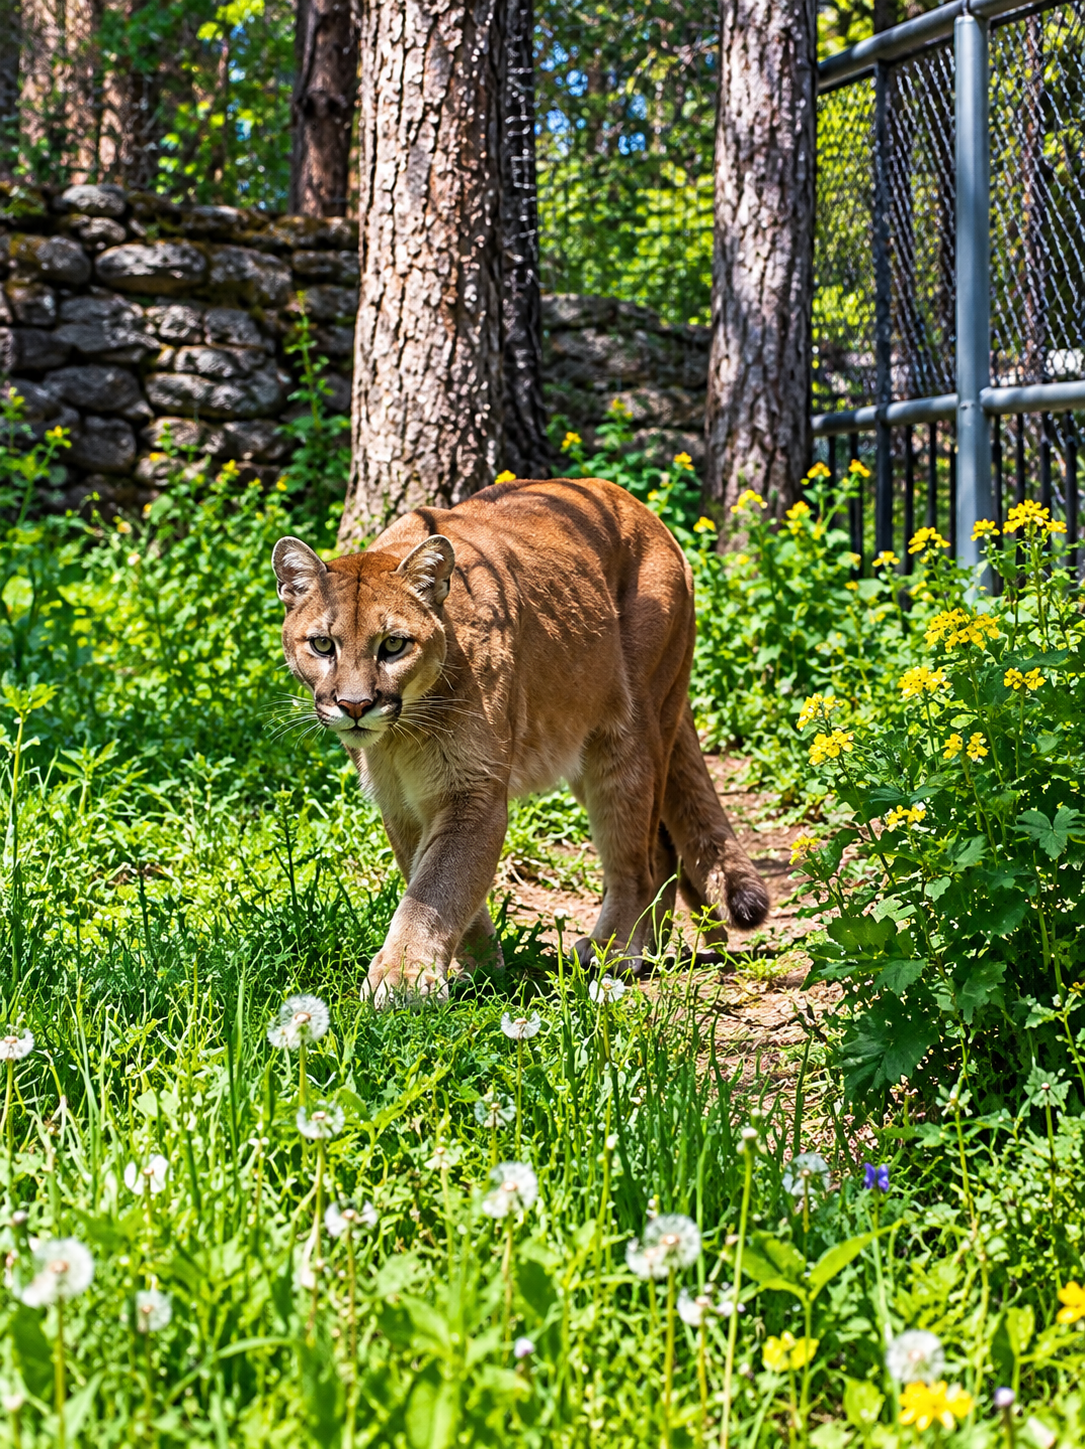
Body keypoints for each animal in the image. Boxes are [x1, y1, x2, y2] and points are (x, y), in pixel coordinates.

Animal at [272, 477, 769, 1004]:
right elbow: (436, 880)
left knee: (637, 859)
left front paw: (403, 977)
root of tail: (643, 510)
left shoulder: (473, 790)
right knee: (661, 846)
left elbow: (436, 886)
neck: (402, 736)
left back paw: (614, 952)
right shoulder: (401, 803)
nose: (354, 706)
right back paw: (644, 949)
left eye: (393, 645)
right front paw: (478, 968)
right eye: (322, 645)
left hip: (630, 734)